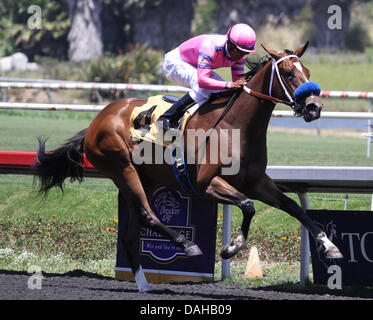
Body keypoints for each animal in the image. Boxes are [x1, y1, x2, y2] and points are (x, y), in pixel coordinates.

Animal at [30, 43, 342, 292]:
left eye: (308, 71)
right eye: (288, 73)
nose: (314, 107)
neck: (236, 126)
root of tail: (98, 120)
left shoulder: (256, 181)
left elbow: (294, 207)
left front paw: (329, 246)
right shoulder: (206, 184)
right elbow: (248, 205)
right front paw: (230, 248)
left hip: (145, 178)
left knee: (132, 234)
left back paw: (144, 285)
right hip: (122, 169)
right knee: (147, 214)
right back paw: (186, 245)